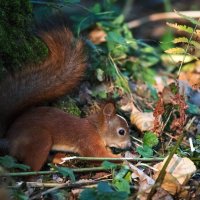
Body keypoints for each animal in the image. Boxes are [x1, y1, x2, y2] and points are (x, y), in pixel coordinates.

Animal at [0, 24, 131, 170]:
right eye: (121, 132)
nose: (129, 145)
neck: (96, 129)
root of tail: (8, 139)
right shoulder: (88, 140)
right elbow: (98, 155)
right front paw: (123, 159)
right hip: (40, 139)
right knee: (30, 166)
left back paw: (59, 158)